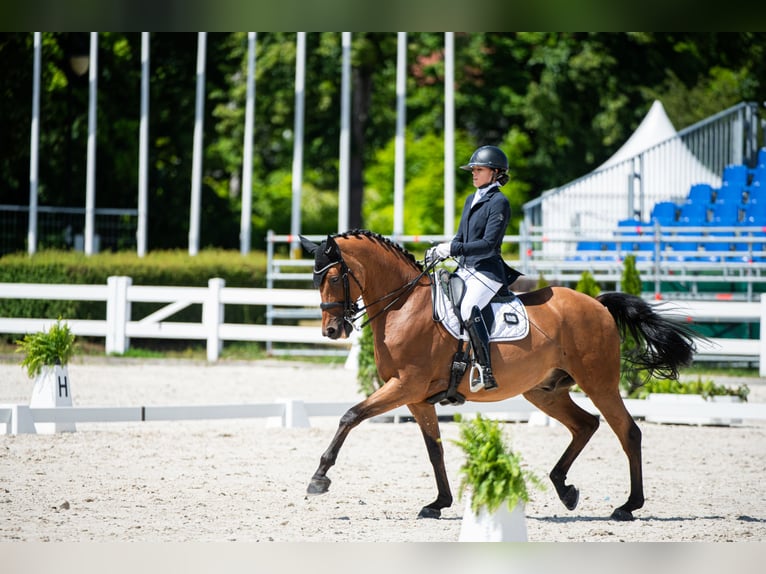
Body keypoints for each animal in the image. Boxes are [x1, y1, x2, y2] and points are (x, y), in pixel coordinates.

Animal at [300, 230, 704, 520]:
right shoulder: (416, 397)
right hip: (544, 391)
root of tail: (597, 303)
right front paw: (438, 503)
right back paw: (565, 489)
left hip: (599, 383)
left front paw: (319, 478)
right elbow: (435, 450)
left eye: (333, 277)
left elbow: (350, 415)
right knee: (585, 425)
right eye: (315, 280)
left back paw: (627, 506)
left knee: (627, 431)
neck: (404, 305)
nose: (331, 331)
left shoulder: (405, 385)